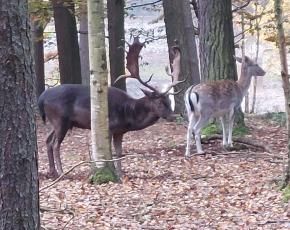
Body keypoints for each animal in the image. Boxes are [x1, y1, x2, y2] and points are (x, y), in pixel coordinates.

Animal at [37, 37, 182, 178]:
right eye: (159, 102)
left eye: (169, 101)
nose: (173, 116)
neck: (128, 113)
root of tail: (42, 97)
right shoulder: (110, 127)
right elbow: (111, 152)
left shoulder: (120, 131)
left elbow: (119, 152)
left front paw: (120, 175)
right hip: (60, 119)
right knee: (55, 144)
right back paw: (62, 173)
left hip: (55, 121)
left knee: (48, 140)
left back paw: (53, 172)